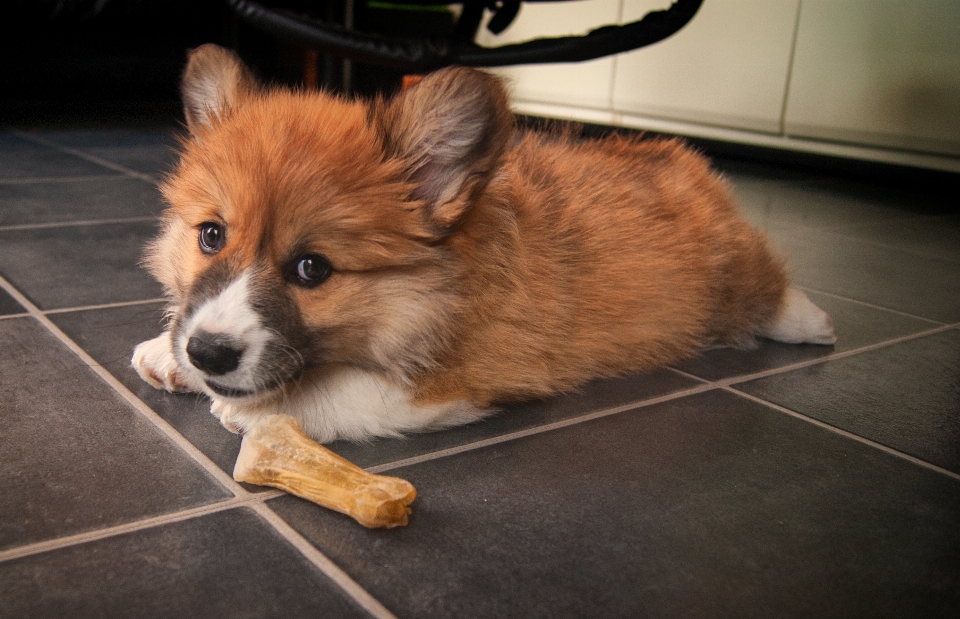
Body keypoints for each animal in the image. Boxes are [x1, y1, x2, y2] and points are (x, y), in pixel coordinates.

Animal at [131, 46, 836, 444]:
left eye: (312, 269)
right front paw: (167, 353)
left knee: (771, 286)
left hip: (738, 273)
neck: (435, 288)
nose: (208, 353)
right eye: (211, 235)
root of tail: (685, 160)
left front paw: (260, 410)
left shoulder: (477, 374)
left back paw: (812, 323)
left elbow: (349, 391)